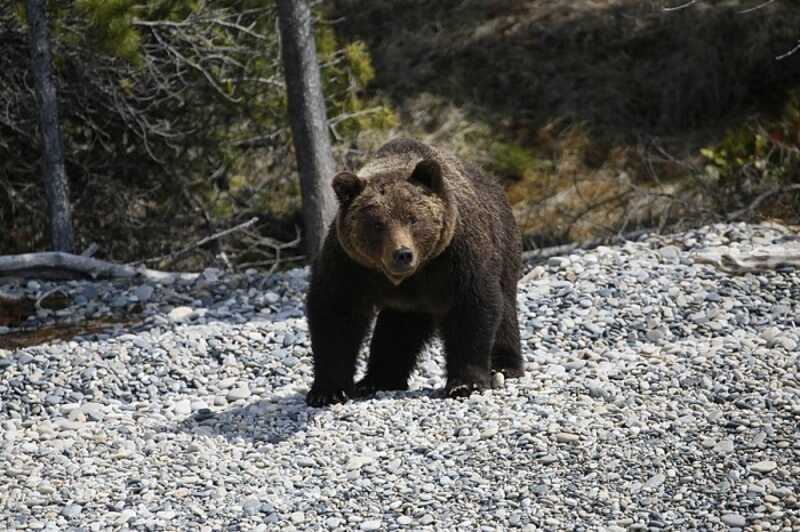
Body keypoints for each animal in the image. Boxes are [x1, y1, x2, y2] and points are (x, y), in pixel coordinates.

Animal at [304, 138, 520, 408]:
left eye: (413, 218)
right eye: (377, 224)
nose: (402, 254)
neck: (409, 276)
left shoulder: (456, 255)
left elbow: (472, 307)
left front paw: (466, 383)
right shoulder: (350, 264)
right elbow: (336, 314)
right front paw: (328, 391)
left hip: (502, 243)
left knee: (506, 309)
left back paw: (504, 366)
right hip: (406, 305)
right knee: (396, 332)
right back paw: (378, 379)